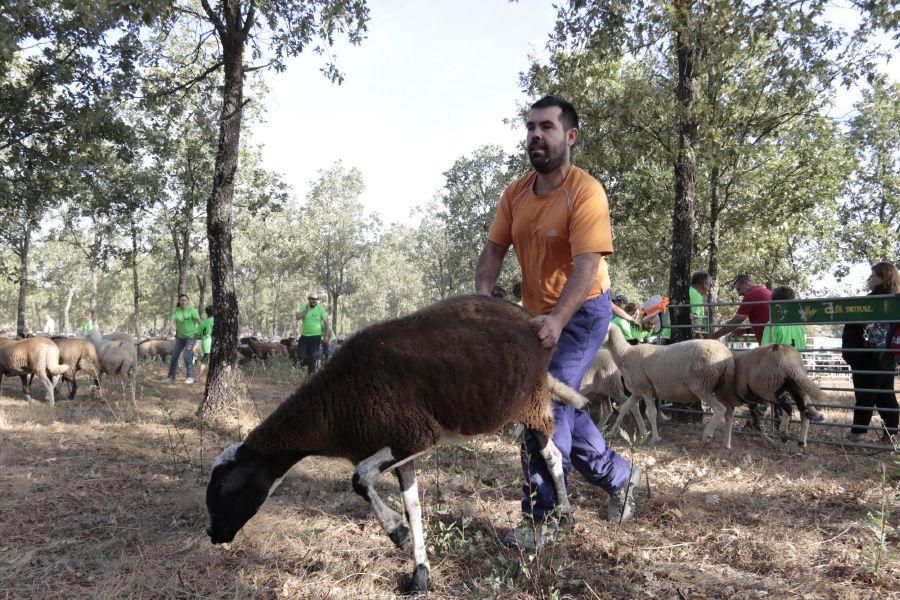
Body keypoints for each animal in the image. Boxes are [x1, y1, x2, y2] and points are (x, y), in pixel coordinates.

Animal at [207, 292, 592, 592]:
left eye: (225, 488)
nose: (213, 534)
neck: (333, 407)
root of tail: (531, 320)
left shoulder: (415, 434)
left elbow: (360, 479)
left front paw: (396, 532)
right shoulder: (401, 447)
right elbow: (414, 504)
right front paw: (419, 575)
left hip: (531, 403)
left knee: (552, 454)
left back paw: (566, 514)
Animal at [604, 324, 740, 446]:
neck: (624, 354)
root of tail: (727, 356)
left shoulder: (646, 389)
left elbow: (651, 413)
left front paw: (655, 438)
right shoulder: (638, 392)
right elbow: (625, 407)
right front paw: (612, 433)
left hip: (702, 385)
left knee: (720, 409)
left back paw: (707, 434)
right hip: (721, 387)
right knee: (729, 412)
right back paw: (726, 444)